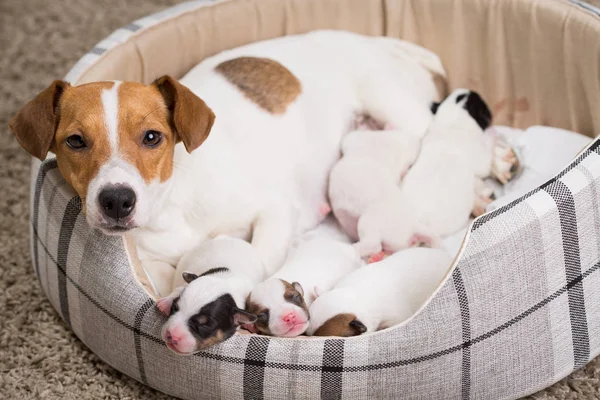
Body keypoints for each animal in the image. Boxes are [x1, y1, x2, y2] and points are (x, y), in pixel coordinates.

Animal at [8, 29, 446, 296]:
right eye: (75, 141)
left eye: (152, 137)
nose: (117, 200)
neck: (174, 202)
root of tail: (383, 43)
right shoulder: (151, 258)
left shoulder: (273, 210)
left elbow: (264, 260)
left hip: (399, 109)